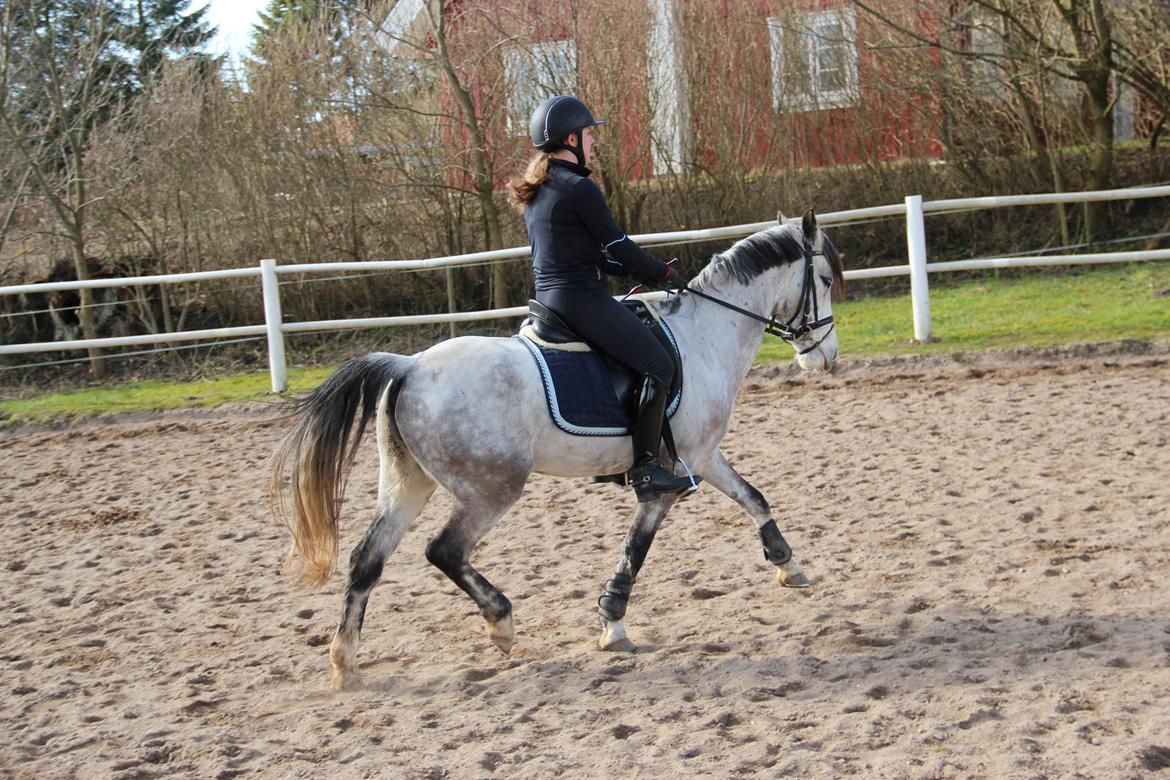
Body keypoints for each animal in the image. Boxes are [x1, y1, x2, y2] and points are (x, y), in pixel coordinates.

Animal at [270, 209, 844, 691]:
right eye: (824, 280)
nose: (826, 358)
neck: (705, 333)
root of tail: (408, 366)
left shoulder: (702, 457)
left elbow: (753, 498)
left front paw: (787, 564)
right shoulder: (673, 473)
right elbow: (637, 548)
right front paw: (613, 623)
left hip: (408, 483)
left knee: (368, 559)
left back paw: (345, 663)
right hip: (492, 488)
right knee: (444, 551)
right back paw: (500, 622)